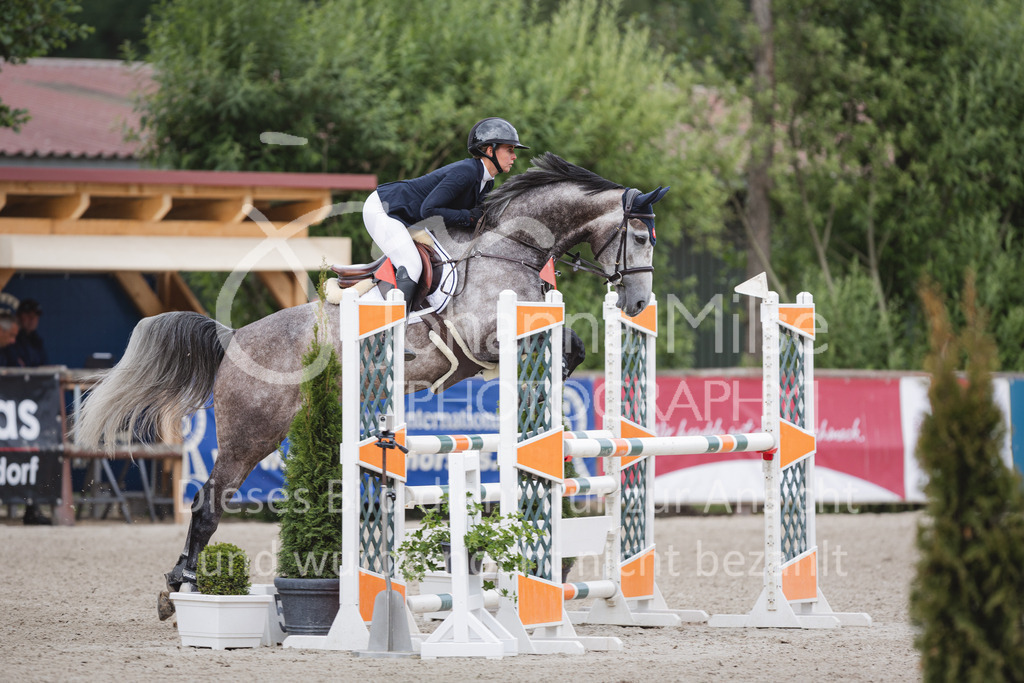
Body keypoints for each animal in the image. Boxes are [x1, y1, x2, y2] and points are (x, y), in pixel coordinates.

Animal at [73, 152, 668, 616]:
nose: (639, 303)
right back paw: (180, 591)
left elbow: (572, 347)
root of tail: (234, 335)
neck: (510, 247)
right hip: (251, 434)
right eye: (639, 235)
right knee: (207, 506)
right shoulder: (481, 338)